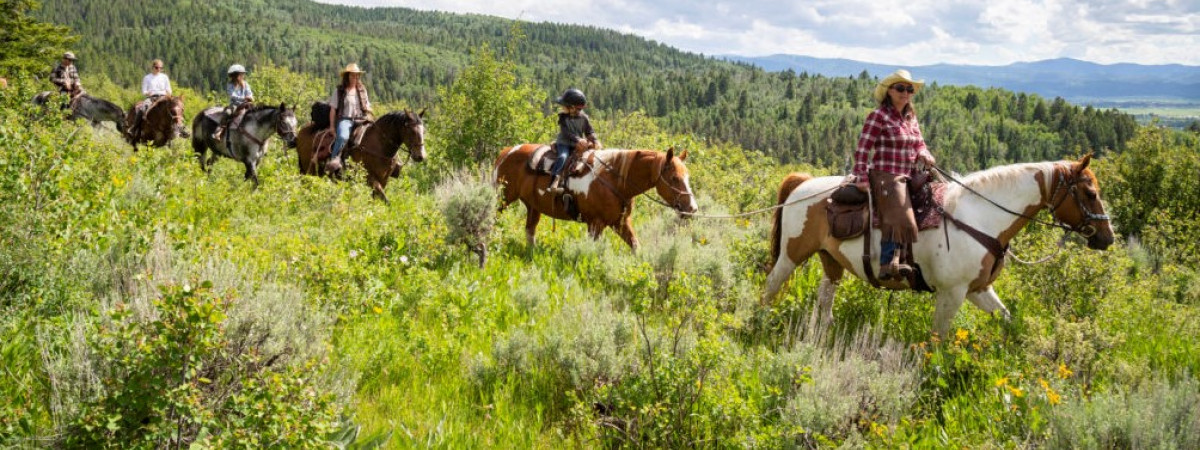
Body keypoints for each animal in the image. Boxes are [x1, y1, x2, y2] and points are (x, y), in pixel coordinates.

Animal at [295, 109, 427, 202]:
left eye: (423, 130)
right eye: (411, 131)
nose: (420, 156)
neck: (379, 145)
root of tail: (302, 131)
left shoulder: (384, 180)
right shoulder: (370, 179)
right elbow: (385, 200)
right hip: (309, 171)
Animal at [489, 145, 700, 252]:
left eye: (688, 176)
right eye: (674, 178)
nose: (692, 208)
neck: (615, 181)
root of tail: (506, 152)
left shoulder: (620, 222)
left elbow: (636, 247)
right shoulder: (595, 224)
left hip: (533, 207)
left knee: (530, 231)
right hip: (502, 199)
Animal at [763, 157, 1118, 336]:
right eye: (1090, 193)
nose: (1107, 237)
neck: (980, 217)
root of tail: (804, 183)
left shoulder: (978, 289)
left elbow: (1006, 319)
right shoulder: (952, 292)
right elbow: (939, 338)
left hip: (830, 259)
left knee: (826, 295)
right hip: (792, 254)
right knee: (772, 284)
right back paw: (760, 321)